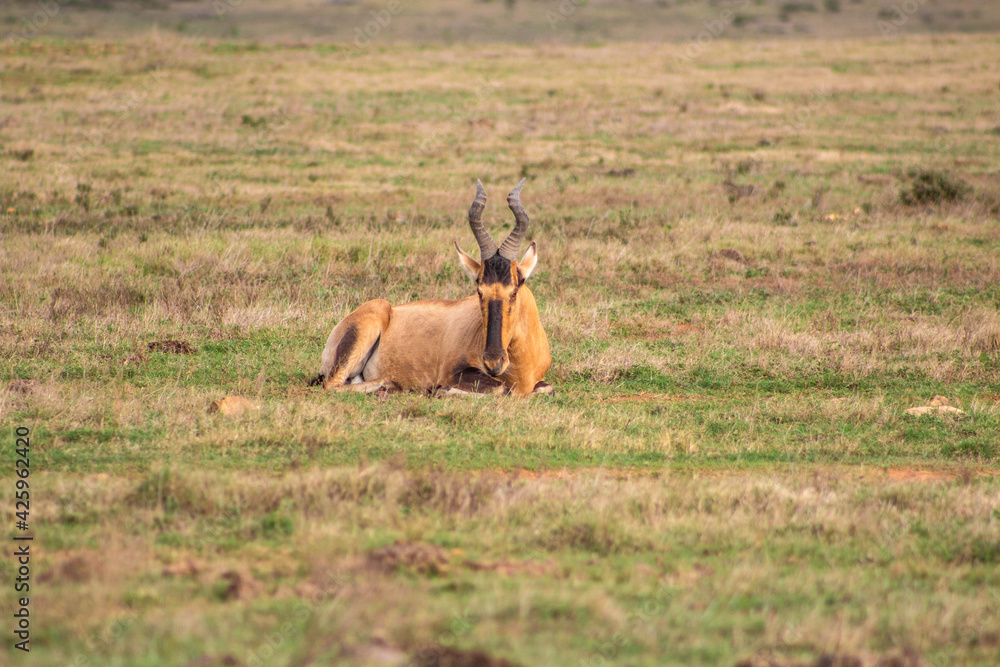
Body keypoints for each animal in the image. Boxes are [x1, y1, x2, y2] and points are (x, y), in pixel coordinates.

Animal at [314, 179, 552, 397]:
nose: (493, 363)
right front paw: (441, 389)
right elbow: (502, 389)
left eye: (514, 291)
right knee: (331, 386)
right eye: (479, 291)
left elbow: (546, 388)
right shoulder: (456, 372)